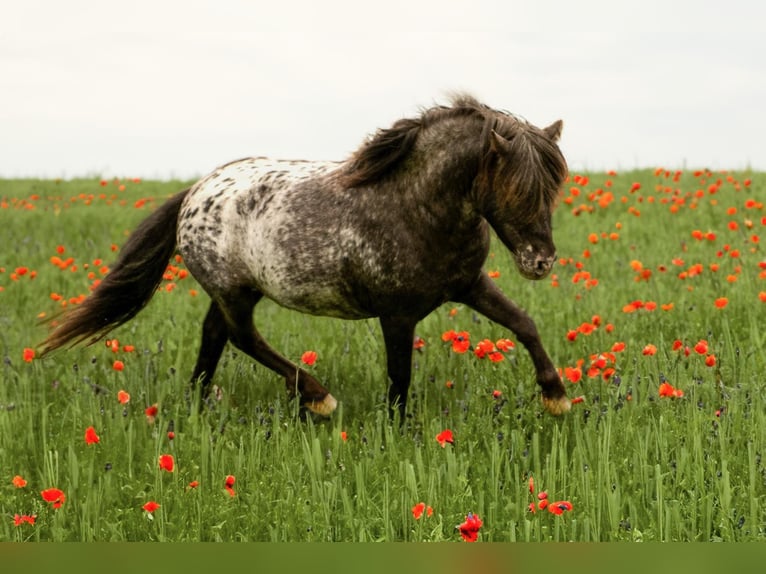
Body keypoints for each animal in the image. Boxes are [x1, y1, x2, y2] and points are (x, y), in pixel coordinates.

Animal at [40, 93, 568, 418]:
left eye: (552, 187)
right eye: (517, 188)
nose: (541, 262)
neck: (414, 205)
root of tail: (195, 191)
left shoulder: (469, 285)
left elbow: (524, 324)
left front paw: (557, 397)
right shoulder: (397, 315)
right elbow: (400, 378)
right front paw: (400, 433)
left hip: (236, 291)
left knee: (215, 335)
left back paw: (197, 401)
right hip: (235, 292)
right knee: (241, 336)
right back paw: (318, 398)